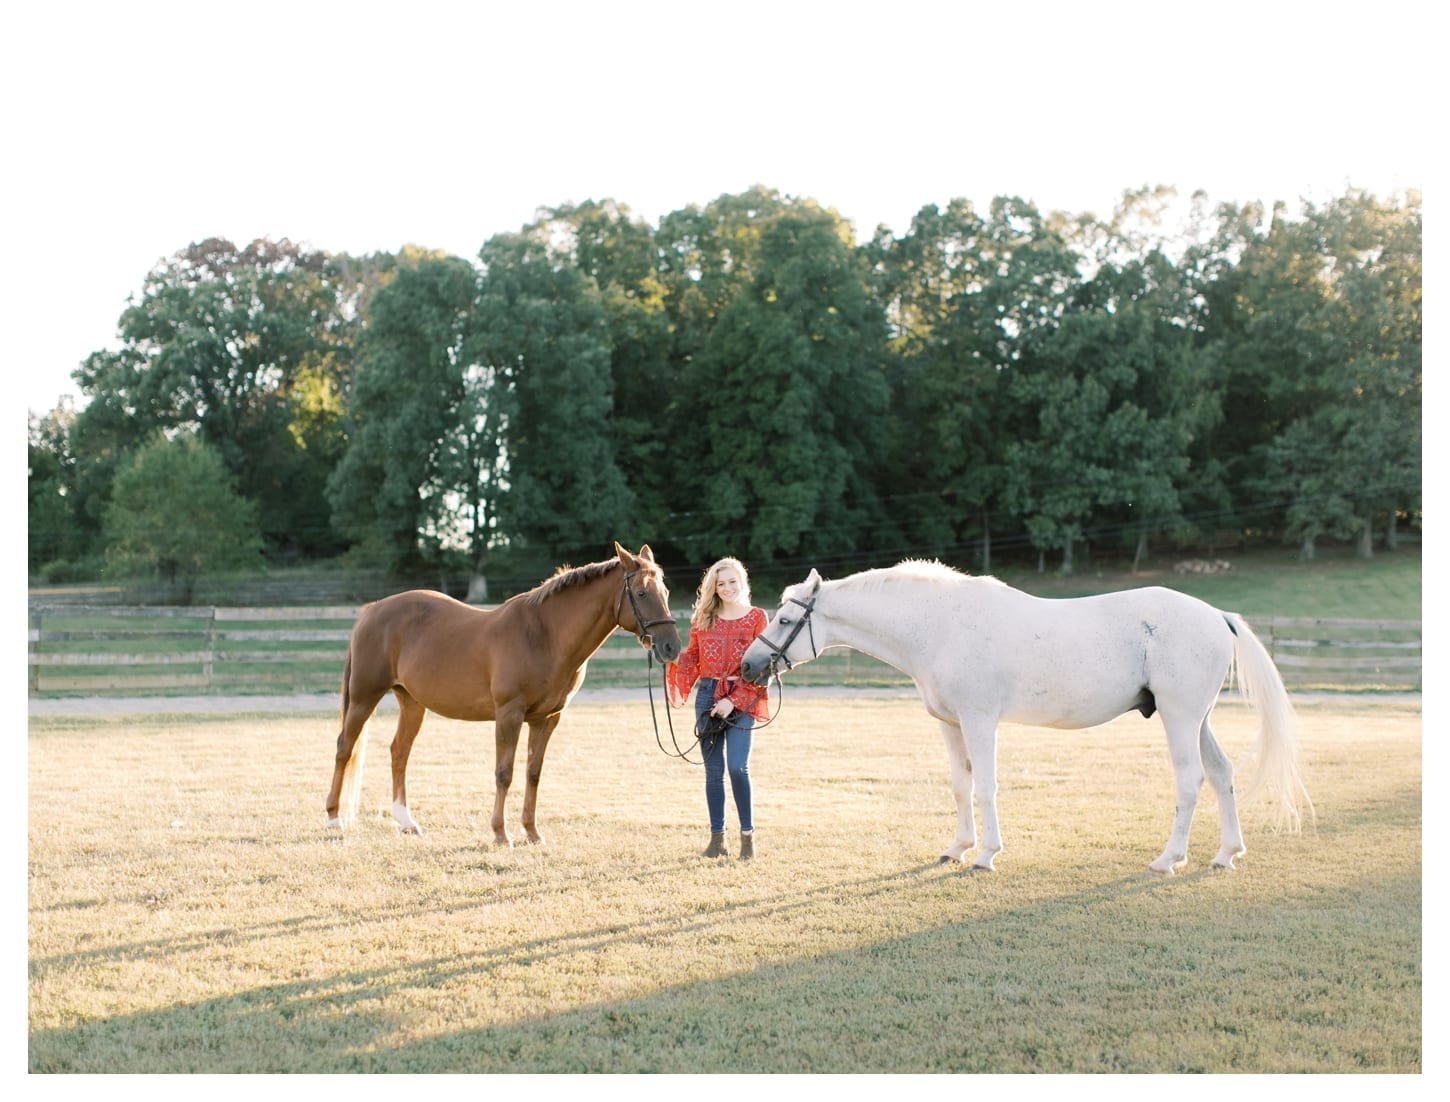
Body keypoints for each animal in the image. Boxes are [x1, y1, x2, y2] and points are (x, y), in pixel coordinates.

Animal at [326, 542, 675, 841]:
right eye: (641, 593)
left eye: (666, 592)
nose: (670, 647)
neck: (544, 635)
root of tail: (372, 610)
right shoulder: (509, 714)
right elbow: (504, 772)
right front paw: (500, 833)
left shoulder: (547, 718)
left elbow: (533, 773)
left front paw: (532, 832)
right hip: (364, 698)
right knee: (344, 747)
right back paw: (333, 819)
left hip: (411, 702)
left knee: (399, 752)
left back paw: (406, 821)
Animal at [742, 562, 1310, 875]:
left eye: (786, 618)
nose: (748, 665)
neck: (939, 624)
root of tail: (1216, 615)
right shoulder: (950, 724)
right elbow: (960, 784)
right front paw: (957, 847)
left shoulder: (979, 720)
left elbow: (986, 786)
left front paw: (986, 855)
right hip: (1199, 720)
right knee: (1221, 774)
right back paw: (1226, 854)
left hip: (1179, 717)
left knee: (1190, 780)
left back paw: (1169, 859)